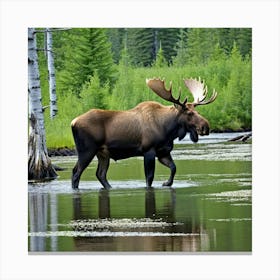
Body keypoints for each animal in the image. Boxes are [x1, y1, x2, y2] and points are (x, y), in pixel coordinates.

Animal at [71, 77, 218, 189]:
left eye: (197, 111)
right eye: (189, 113)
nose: (206, 126)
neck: (168, 130)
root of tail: (73, 122)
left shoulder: (163, 152)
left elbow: (174, 168)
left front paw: (166, 183)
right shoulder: (149, 150)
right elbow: (149, 177)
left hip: (102, 153)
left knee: (100, 174)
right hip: (87, 150)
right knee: (76, 172)